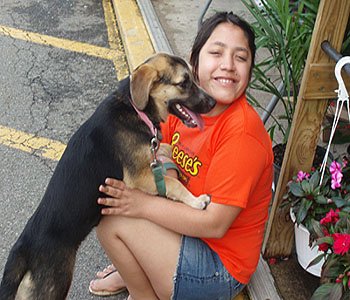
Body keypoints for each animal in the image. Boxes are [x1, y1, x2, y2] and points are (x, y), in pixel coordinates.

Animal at [0, 52, 216, 298]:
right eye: (184, 83)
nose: (213, 102)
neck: (135, 108)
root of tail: (22, 249)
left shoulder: (149, 156)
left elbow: (165, 149)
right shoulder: (139, 177)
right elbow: (172, 182)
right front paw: (197, 201)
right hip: (53, 285)